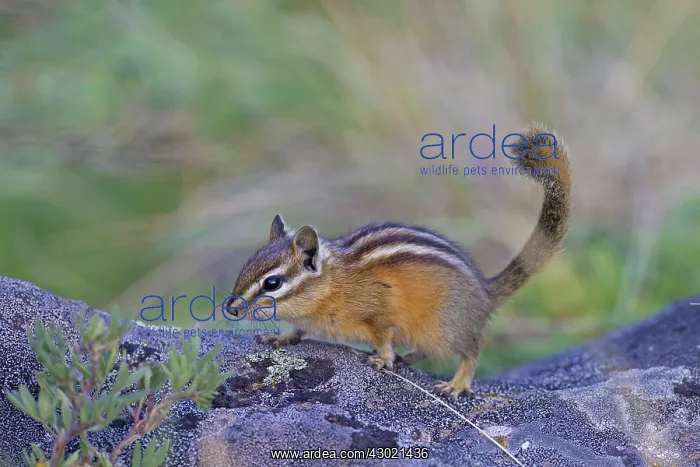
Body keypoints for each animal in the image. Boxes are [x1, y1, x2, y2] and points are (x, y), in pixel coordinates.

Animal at [225, 123, 571, 399]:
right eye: (246, 267)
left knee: (471, 352)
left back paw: (457, 383)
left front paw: (383, 358)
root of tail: (485, 292)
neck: (330, 286)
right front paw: (280, 336)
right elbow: (297, 330)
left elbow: (382, 336)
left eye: (273, 283)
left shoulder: (379, 313)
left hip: (445, 326)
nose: (231, 309)